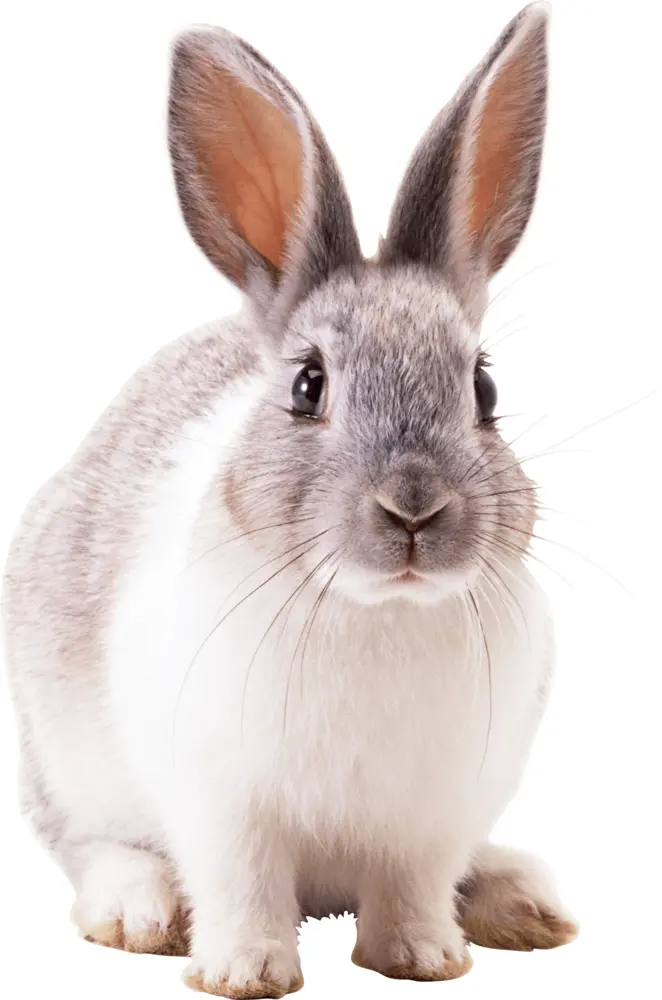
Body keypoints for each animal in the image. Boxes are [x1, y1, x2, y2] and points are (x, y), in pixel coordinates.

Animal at [2, 3, 578, 997]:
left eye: (484, 389)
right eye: (309, 386)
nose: (414, 508)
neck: (377, 609)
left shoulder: (434, 814)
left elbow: (414, 886)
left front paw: (423, 959)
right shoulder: (223, 803)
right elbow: (242, 885)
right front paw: (244, 972)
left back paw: (522, 901)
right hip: (64, 763)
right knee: (86, 844)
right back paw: (137, 908)